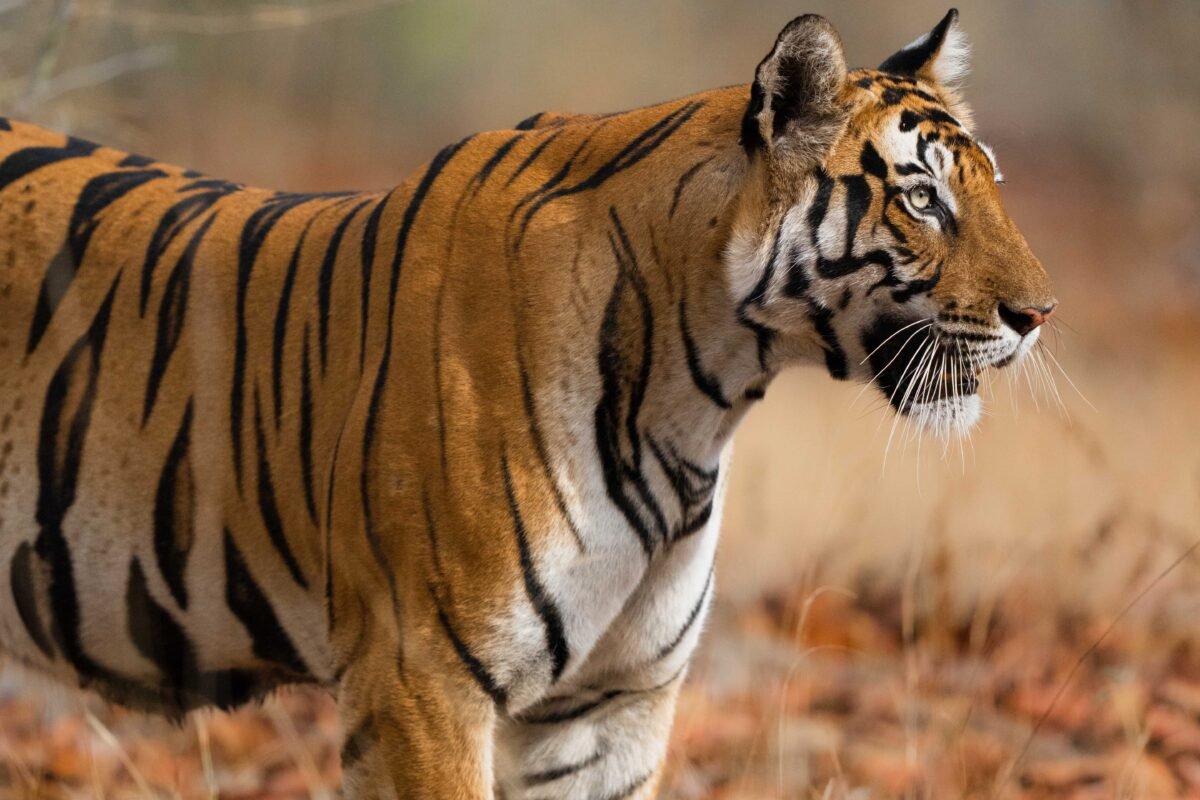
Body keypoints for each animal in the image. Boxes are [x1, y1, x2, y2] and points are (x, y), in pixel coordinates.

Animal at [0, 8, 1054, 799]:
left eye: (991, 188)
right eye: (921, 200)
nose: (1041, 314)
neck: (698, 402)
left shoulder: (608, 705)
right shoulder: (419, 682)